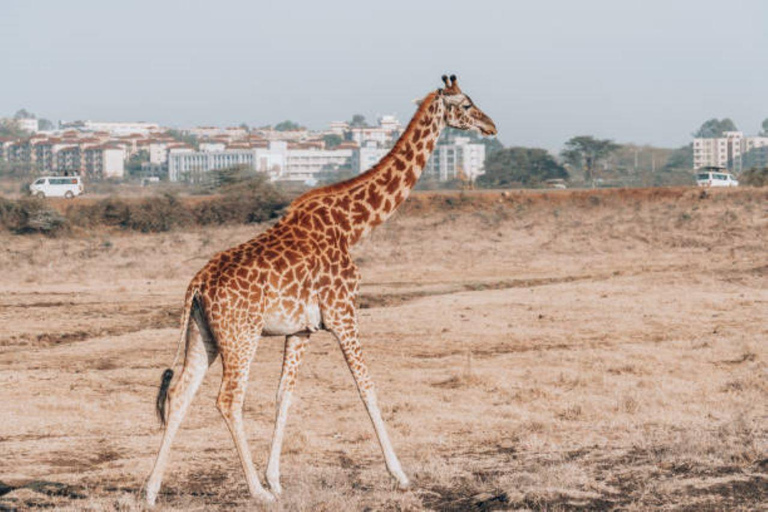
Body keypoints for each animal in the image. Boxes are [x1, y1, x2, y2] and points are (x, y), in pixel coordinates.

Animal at [142, 74, 498, 506]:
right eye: (465, 105)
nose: (491, 127)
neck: (353, 226)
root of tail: (196, 285)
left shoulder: (301, 329)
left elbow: (284, 396)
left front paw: (276, 479)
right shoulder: (344, 312)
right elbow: (367, 388)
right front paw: (399, 474)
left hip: (203, 334)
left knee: (179, 394)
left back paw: (151, 490)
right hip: (241, 335)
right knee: (228, 400)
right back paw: (255, 493)